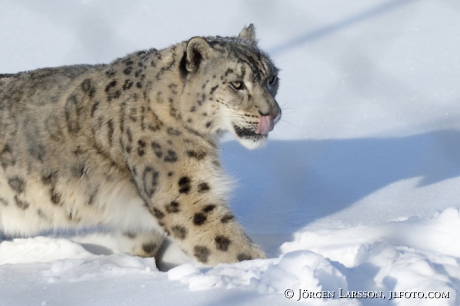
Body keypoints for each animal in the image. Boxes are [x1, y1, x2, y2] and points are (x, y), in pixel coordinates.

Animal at [0, 25, 280, 266]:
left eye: (272, 79)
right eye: (237, 84)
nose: (273, 114)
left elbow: (142, 241)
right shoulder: (184, 194)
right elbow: (228, 245)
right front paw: (261, 269)